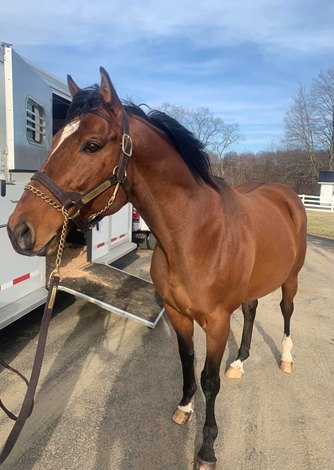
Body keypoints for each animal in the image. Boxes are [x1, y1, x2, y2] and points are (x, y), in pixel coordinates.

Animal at [6, 68, 306, 468]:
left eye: (91, 145)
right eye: (52, 137)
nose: (19, 229)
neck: (195, 234)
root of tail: (285, 194)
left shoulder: (216, 322)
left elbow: (210, 380)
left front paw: (207, 449)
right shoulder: (178, 314)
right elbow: (186, 361)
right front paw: (184, 408)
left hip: (291, 278)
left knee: (286, 310)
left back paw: (286, 358)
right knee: (252, 309)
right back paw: (239, 363)